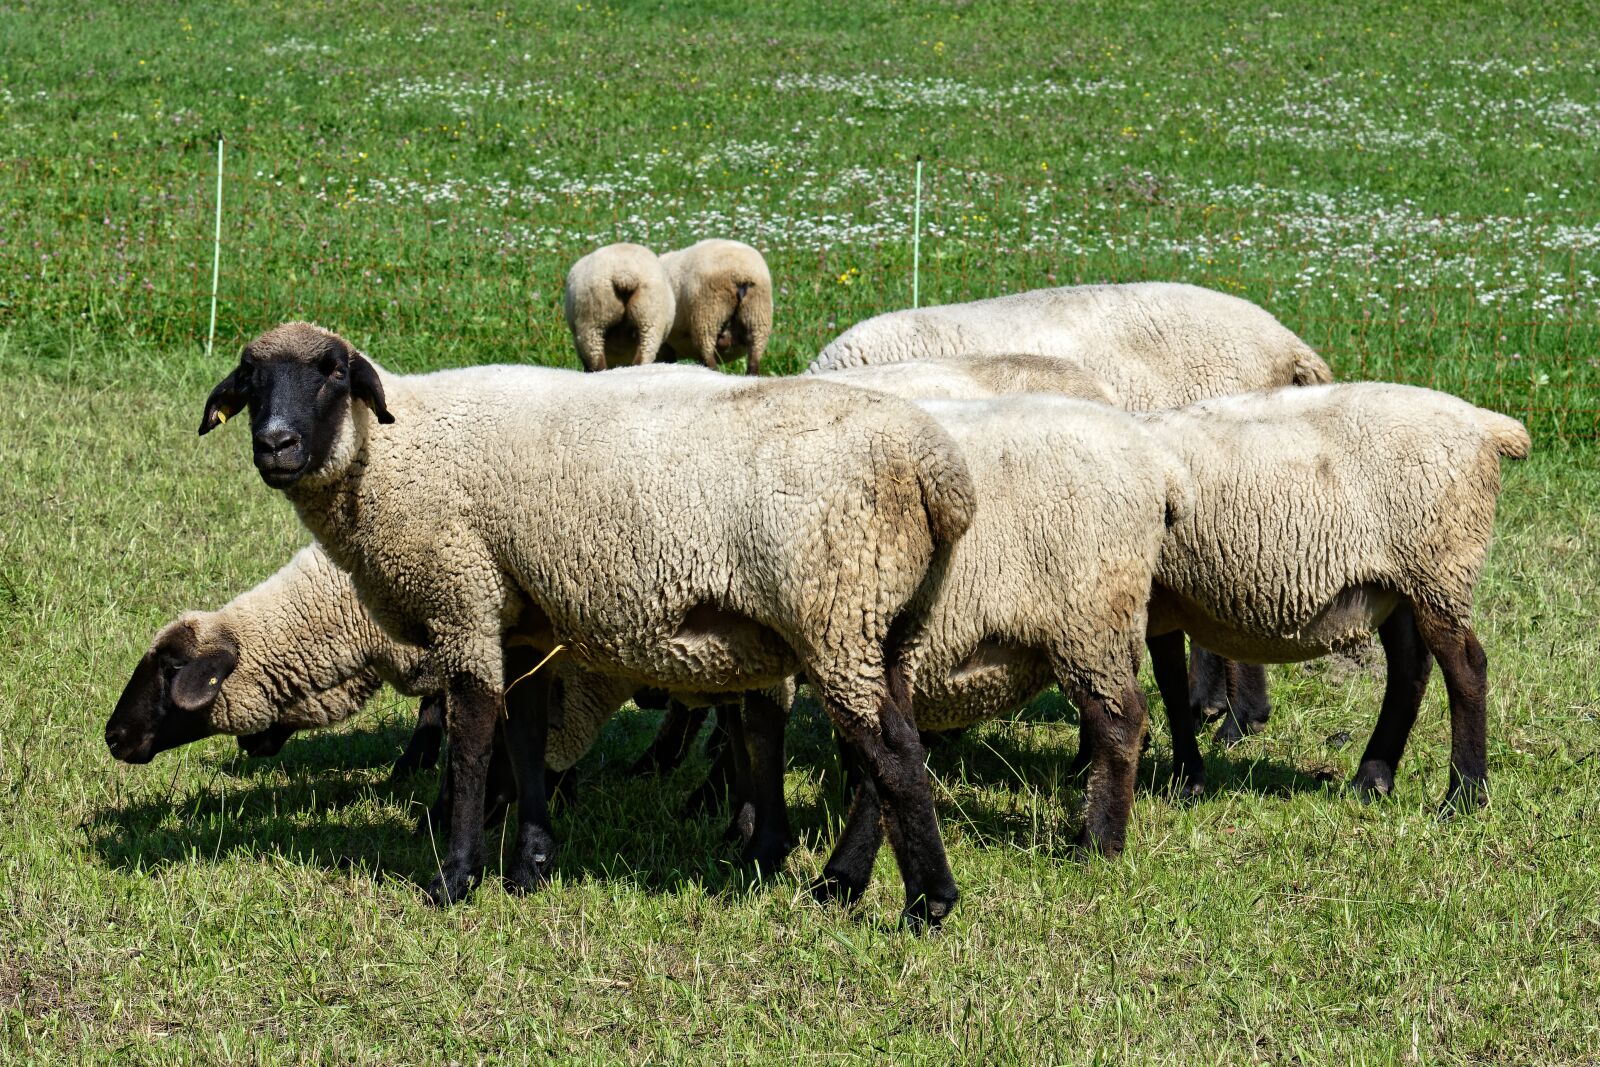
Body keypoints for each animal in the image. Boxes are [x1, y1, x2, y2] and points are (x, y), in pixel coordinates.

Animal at [197, 322, 976, 926]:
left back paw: (925, 902)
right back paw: (845, 879)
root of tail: (937, 471)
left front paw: (456, 876)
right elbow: (524, 735)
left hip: (833, 612)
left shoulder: (463, 596)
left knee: (891, 753)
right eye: (251, 380)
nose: (276, 445)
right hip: (888, 622)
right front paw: (529, 866)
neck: (391, 451)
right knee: (894, 749)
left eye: (331, 373)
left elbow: (473, 740)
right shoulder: (522, 622)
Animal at [657, 239, 773, 375]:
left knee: (709, 358)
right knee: (754, 359)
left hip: (708, 315)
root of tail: (740, 273)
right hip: (758, 314)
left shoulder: (664, 347)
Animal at [1128, 382, 1530, 808]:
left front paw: (1180, 779)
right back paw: (1372, 780)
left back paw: (1463, 795)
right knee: (1410, 667)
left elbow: (1162, 683)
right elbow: (1169, 682)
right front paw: (1186, 778)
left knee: (1467, 668)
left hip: (1439, 564)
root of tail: (1484, 423)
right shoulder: (1160, 598)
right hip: (1397, 582)